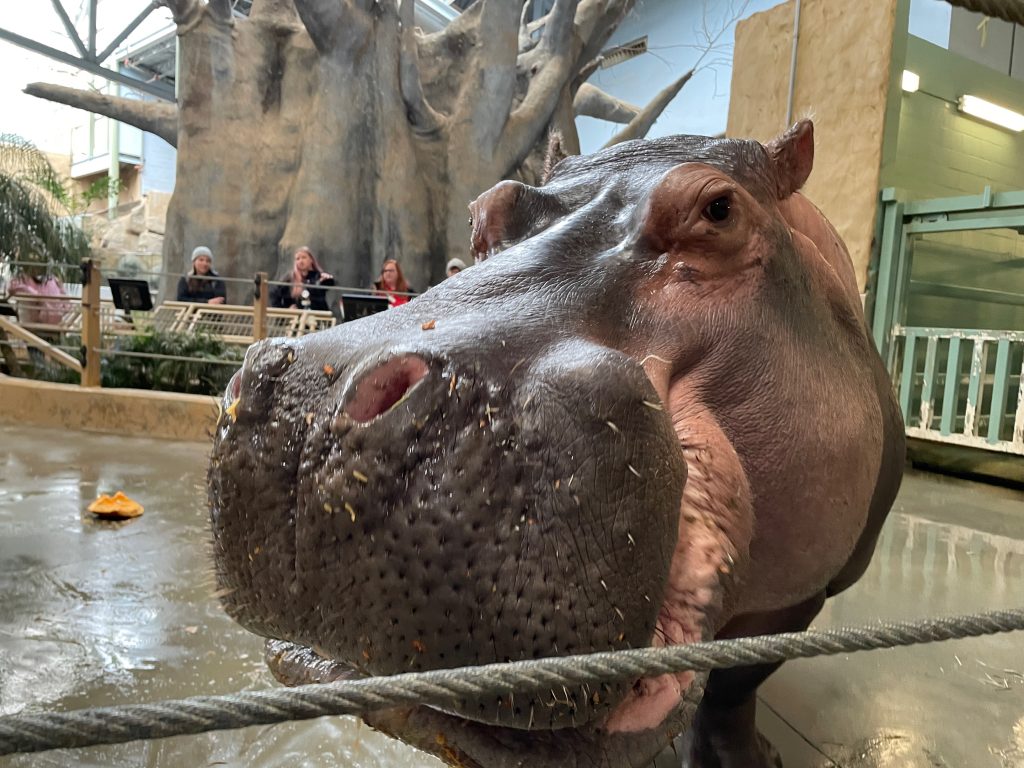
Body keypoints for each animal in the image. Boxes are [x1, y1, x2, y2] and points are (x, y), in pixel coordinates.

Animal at [207, 121, 905, 768]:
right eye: (483, 211)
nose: (311, 408)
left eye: (719, 209)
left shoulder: (802, 593)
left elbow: (736, 684)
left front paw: (749, 757)